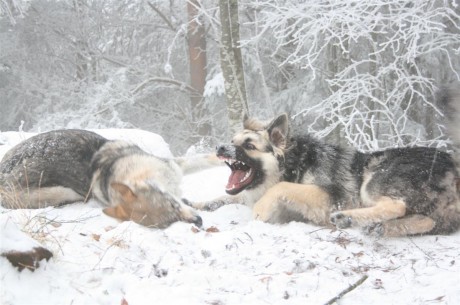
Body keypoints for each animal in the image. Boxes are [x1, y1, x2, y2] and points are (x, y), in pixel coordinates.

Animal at [0, 129, 219, 227]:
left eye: (172, 205)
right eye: (169, 223)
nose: (198, 221)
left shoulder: (175, 167)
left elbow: (207, 159)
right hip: (63, 192)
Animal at [191, 87, 460, 235]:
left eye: (248, 146)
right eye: (232, 140)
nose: (220, 148)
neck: (293, 164)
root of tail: (453, 167)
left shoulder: (330, 196)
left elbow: (280, 188)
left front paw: (260, 210)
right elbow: (224, 197)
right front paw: (196, 204)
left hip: (374, 178)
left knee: (396, 206)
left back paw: (348, 218)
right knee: (426, 220)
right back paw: (381, 227)